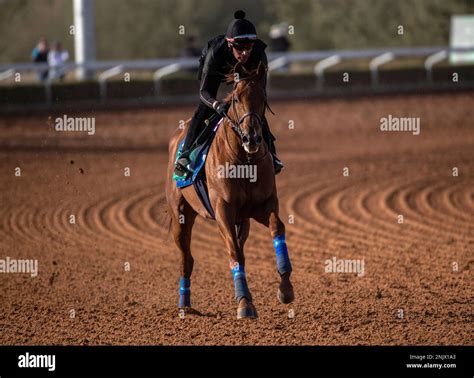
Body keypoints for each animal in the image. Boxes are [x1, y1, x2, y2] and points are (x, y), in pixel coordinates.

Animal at [166, 62, 292, 318]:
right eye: (236, 98)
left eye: (263, 97)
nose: (251, 137)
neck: (244, 161)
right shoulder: (223, 209)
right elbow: (233, 251)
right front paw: (244, 303)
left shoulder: (263, 204)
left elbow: (277, 227)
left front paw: (285, 288)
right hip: (180, 216)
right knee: (186, 260)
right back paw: (184, 305)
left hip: (243, 221)